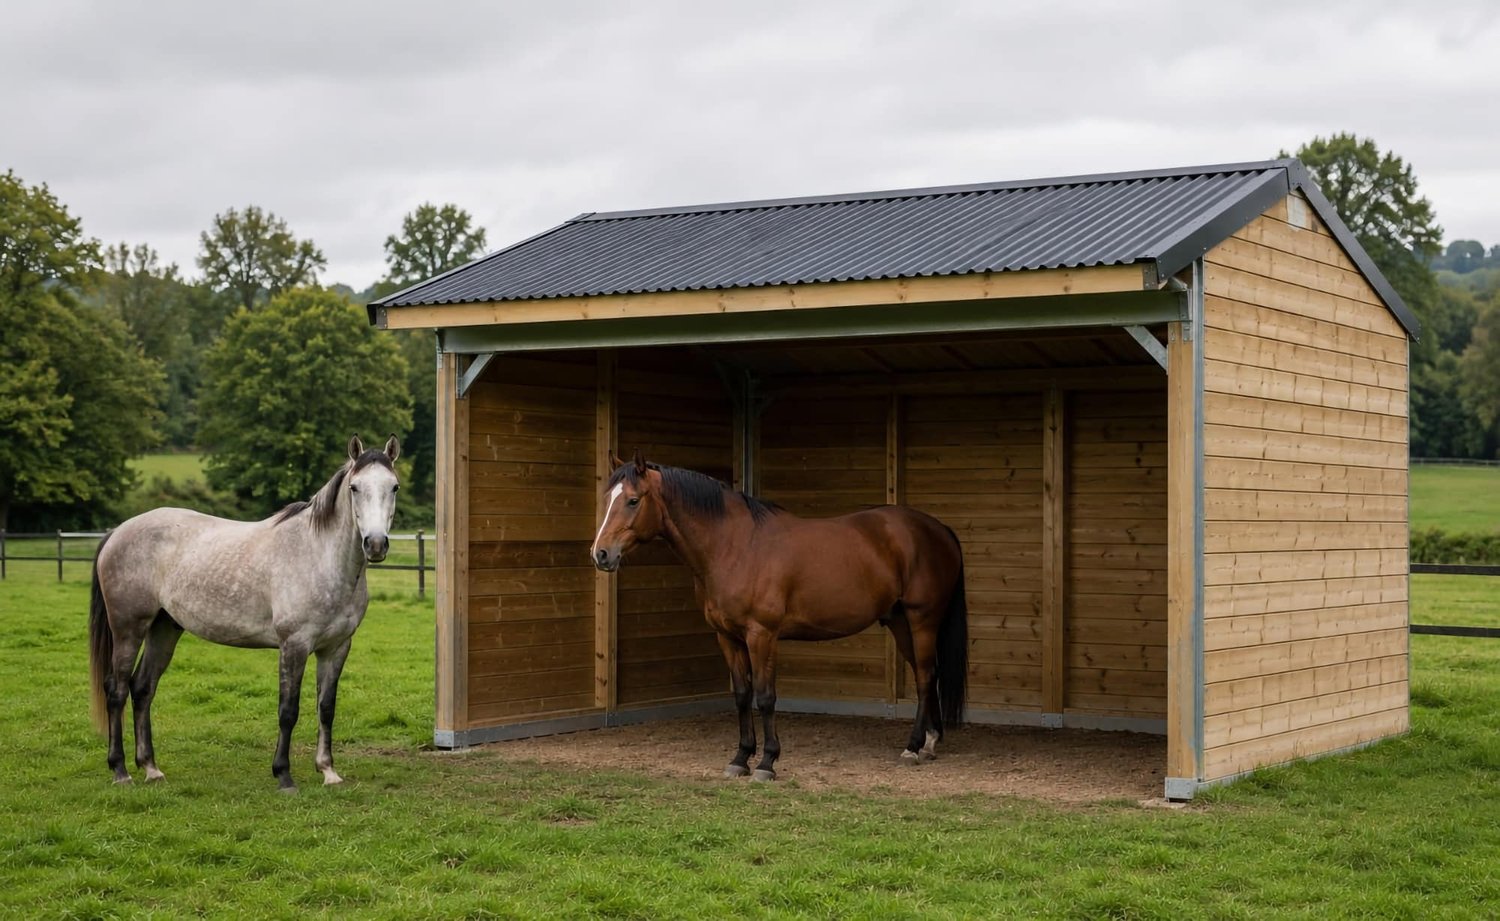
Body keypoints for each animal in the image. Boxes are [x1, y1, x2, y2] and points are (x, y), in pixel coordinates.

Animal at [88, 434, 401, 791]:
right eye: (354, 487)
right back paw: (120, 770)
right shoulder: (294, 645)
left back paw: (151, 768)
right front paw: (284, 775)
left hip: (164, 629)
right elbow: (288, 710)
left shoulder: (336, 648)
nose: (375, 544)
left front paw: (328, 771)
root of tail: (117, 532)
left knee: (142, 689)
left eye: (393, 487)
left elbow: (326, 708)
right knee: (117, 690)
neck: (319, 555)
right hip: (128, 628)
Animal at [591, 452, 968, 781]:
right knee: (926, 674)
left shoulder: (762, 635)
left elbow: (765, 696)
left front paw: (767, 762)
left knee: (925, 676)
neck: (735, 546)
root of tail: (939, 529)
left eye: (633, 500)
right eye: (608, 498)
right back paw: (930, 741)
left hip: (922, 620)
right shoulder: (727, 636)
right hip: (899, 622)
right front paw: (740, 758)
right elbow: (742, 695)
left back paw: (914, 747)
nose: (601, 554)